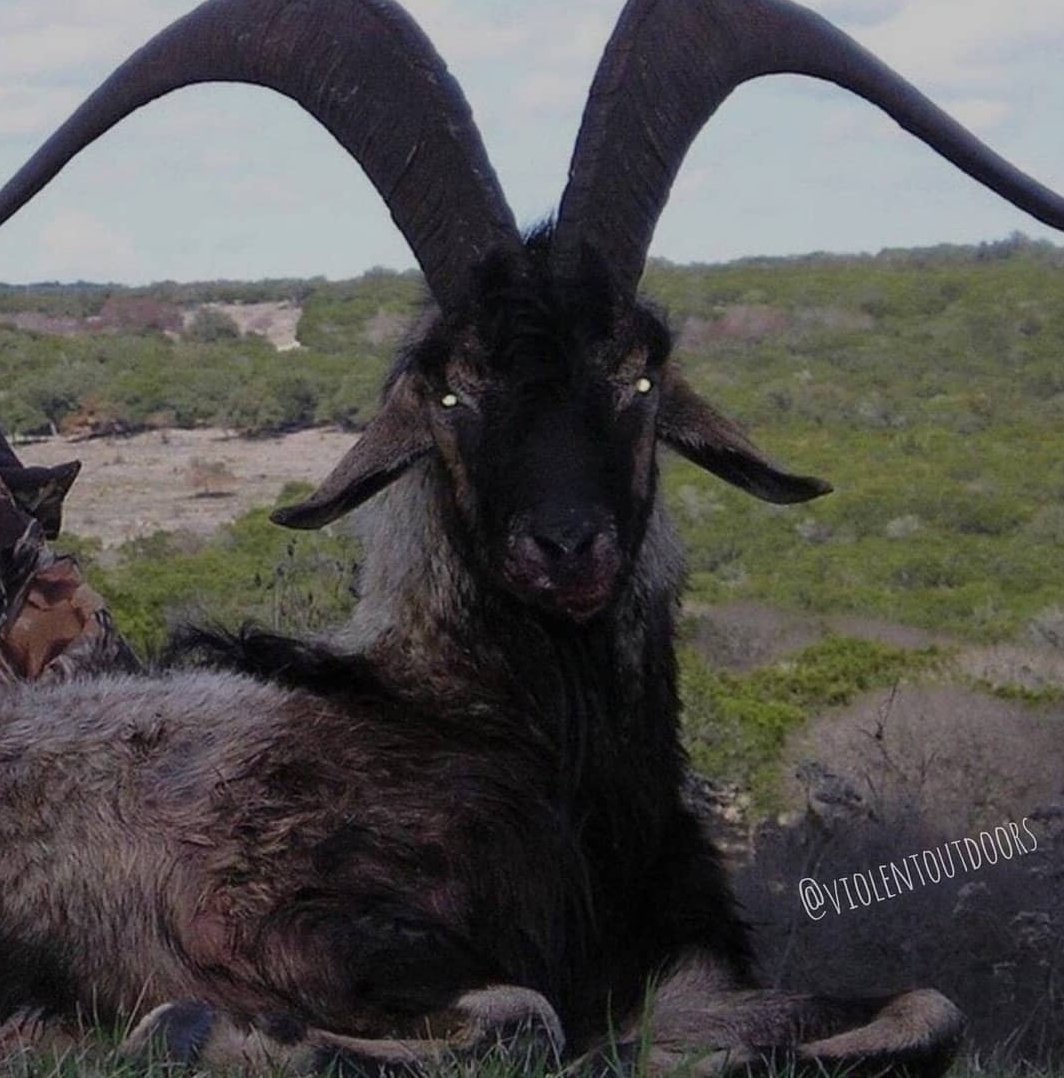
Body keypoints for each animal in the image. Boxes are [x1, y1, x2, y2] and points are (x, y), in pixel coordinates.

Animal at [1, 0, 1062, 1073]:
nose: (566, 548)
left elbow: (928, 1006)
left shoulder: (679, 970)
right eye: (452, 390)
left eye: (639, 375)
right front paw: (201, 1028)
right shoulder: (282, 923)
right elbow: (524, 1012)